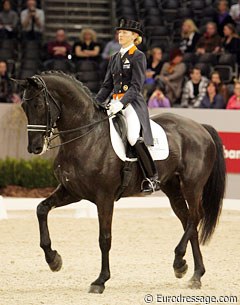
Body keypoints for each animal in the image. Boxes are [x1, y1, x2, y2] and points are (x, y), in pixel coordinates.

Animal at [15, 70, 226, 292]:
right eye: (24, 107)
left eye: (39, 105)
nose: (35, 148)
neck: (86, 137)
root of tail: (201, 128)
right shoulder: (71, 191)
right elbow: (41, 209)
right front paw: (53, 260)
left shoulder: (104, 197)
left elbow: (104, 238)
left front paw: (100, 280)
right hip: (172, 188)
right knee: (188, 221)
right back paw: (195, 274)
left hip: (192, 186)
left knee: (195, 217)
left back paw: (179, 262)